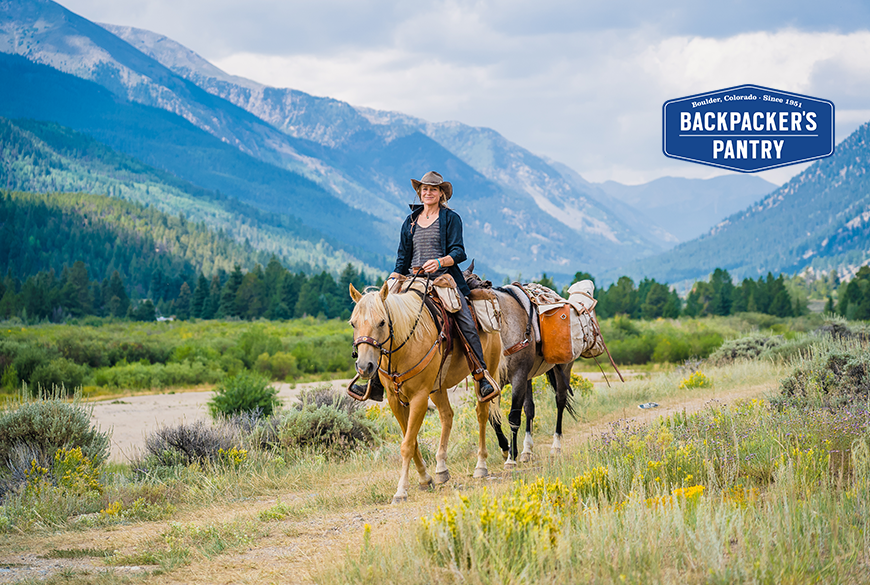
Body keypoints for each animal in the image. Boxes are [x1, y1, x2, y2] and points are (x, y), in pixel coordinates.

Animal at [350, 282, 504, 502]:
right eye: (353, 324)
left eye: (381, 322)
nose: (364, 367)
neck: (405, 344)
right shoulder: (395, 400)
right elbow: (412, 441)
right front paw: (425, 479)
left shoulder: (419, 398)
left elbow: (407, 445)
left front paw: (401, 490)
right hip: (437, 389)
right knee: (447, 415)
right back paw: (441, 469)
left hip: (485, 372)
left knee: (482, 414)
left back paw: (480, 466)